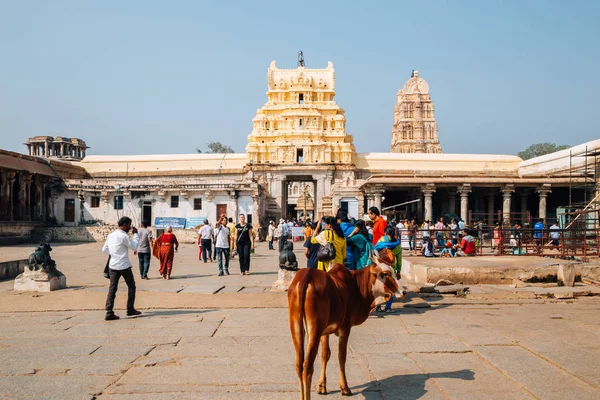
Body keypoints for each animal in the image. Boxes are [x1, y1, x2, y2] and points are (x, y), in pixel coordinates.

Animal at [288, 250, 406, 400]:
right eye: (385, 273)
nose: (403, 291)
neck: (357, 285)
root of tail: (307, 275)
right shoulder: (345, 327)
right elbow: (342, 356)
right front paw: (344, 387)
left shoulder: (325, 331)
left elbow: (325, 354)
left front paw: (322, 386)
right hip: (315, 328)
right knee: (307, 366)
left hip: (296, 326)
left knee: (299, 364)